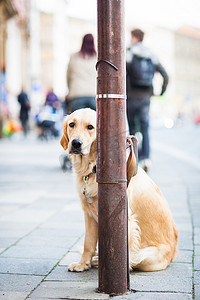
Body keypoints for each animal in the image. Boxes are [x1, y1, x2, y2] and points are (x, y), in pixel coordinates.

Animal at [59, 109, 178, 274]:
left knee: (135, 259)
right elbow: (88, 243)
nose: (76, 143)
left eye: (90, 127)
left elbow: (124, 253)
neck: (93, 168)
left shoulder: (126, 218)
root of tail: (173, 254)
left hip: (147, 256)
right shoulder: (88, 214)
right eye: (72, 124)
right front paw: (83, 264)